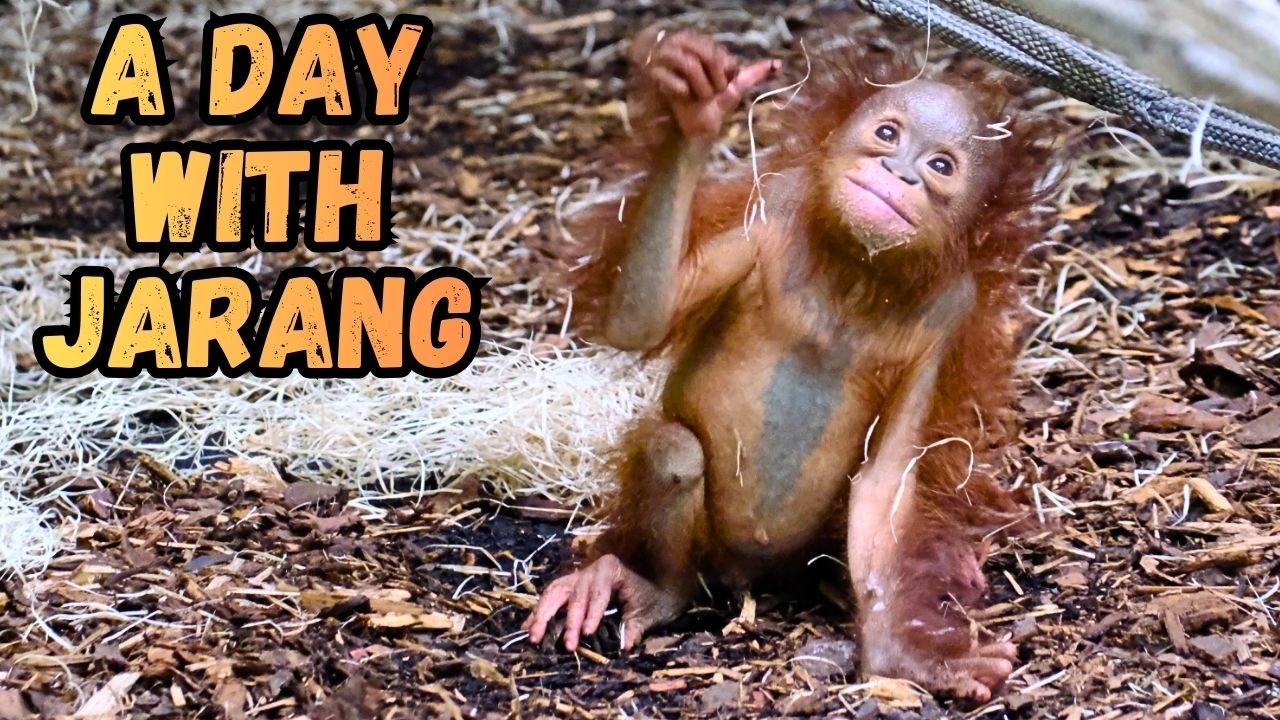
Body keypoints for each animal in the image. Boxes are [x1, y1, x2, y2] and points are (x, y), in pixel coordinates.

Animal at [523, 25, 1063, 703]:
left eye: (941, 166)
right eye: (888, 133)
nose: (898, 172)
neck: (857, 270)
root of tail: (745, 576)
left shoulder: (953, 308)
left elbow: (886, 480)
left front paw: (910, 657)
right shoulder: (771, 212)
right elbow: (643, 320)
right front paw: (696, 109)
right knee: (674, 453)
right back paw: (645, 589)